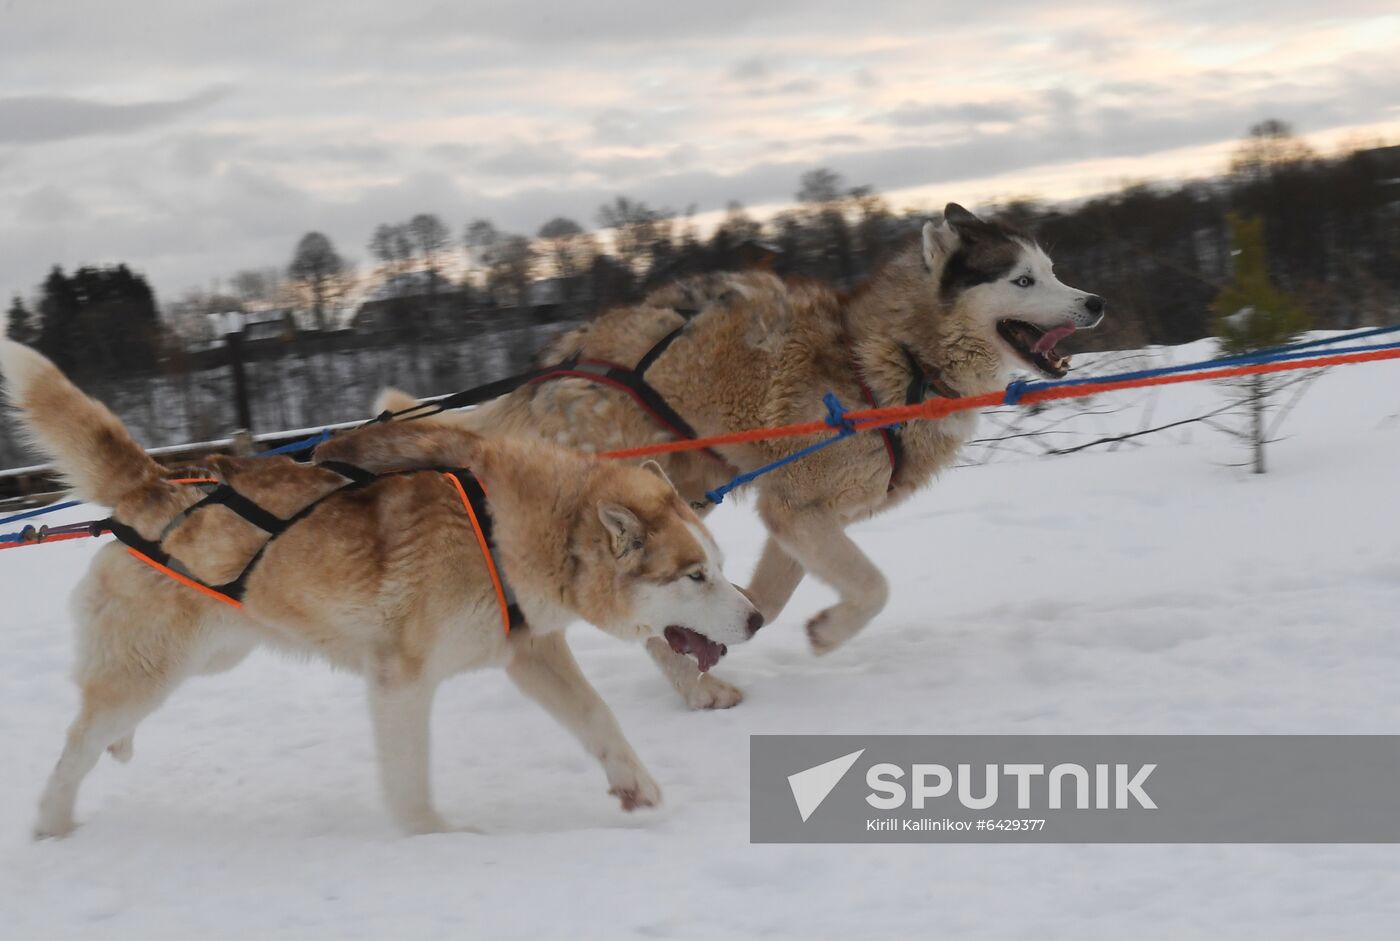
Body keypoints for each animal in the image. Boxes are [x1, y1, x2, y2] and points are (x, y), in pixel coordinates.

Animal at [0, 340, 761, 840]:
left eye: (718, 563)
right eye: (694, 574)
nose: (755, 618)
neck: (503, 523)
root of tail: (154, 484)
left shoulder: (530, 653)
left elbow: (598, 719)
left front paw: (635, 783)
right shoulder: (401, 679)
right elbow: (409, 776)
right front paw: (431, 836)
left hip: (212, 653)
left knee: (105, 721)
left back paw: (112, 754)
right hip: (155, 666)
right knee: (77, 741)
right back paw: (51, 822)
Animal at [380, 201, 1103, 708]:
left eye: (1053, 271)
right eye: (1023, 278)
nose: (1094, 301)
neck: (892, 360)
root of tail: (552, 367)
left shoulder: (799, 518)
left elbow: (768, 598)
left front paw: (737, 622)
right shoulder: (798, 509)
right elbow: (872, 585)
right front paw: (827, 632)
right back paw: (697, 690)